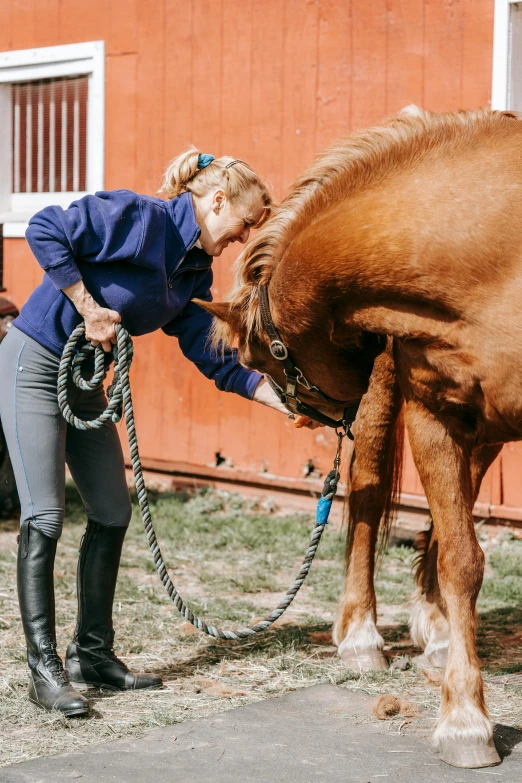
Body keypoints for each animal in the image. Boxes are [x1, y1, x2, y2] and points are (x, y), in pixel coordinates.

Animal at [195, 107, 520, 768]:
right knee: (369, 493)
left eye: (255, 354)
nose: (299, 415)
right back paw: (365, 636)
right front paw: (465, 721)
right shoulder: (434, 410)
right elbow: (462, 558)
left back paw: (434, 630)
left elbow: (455, 543)